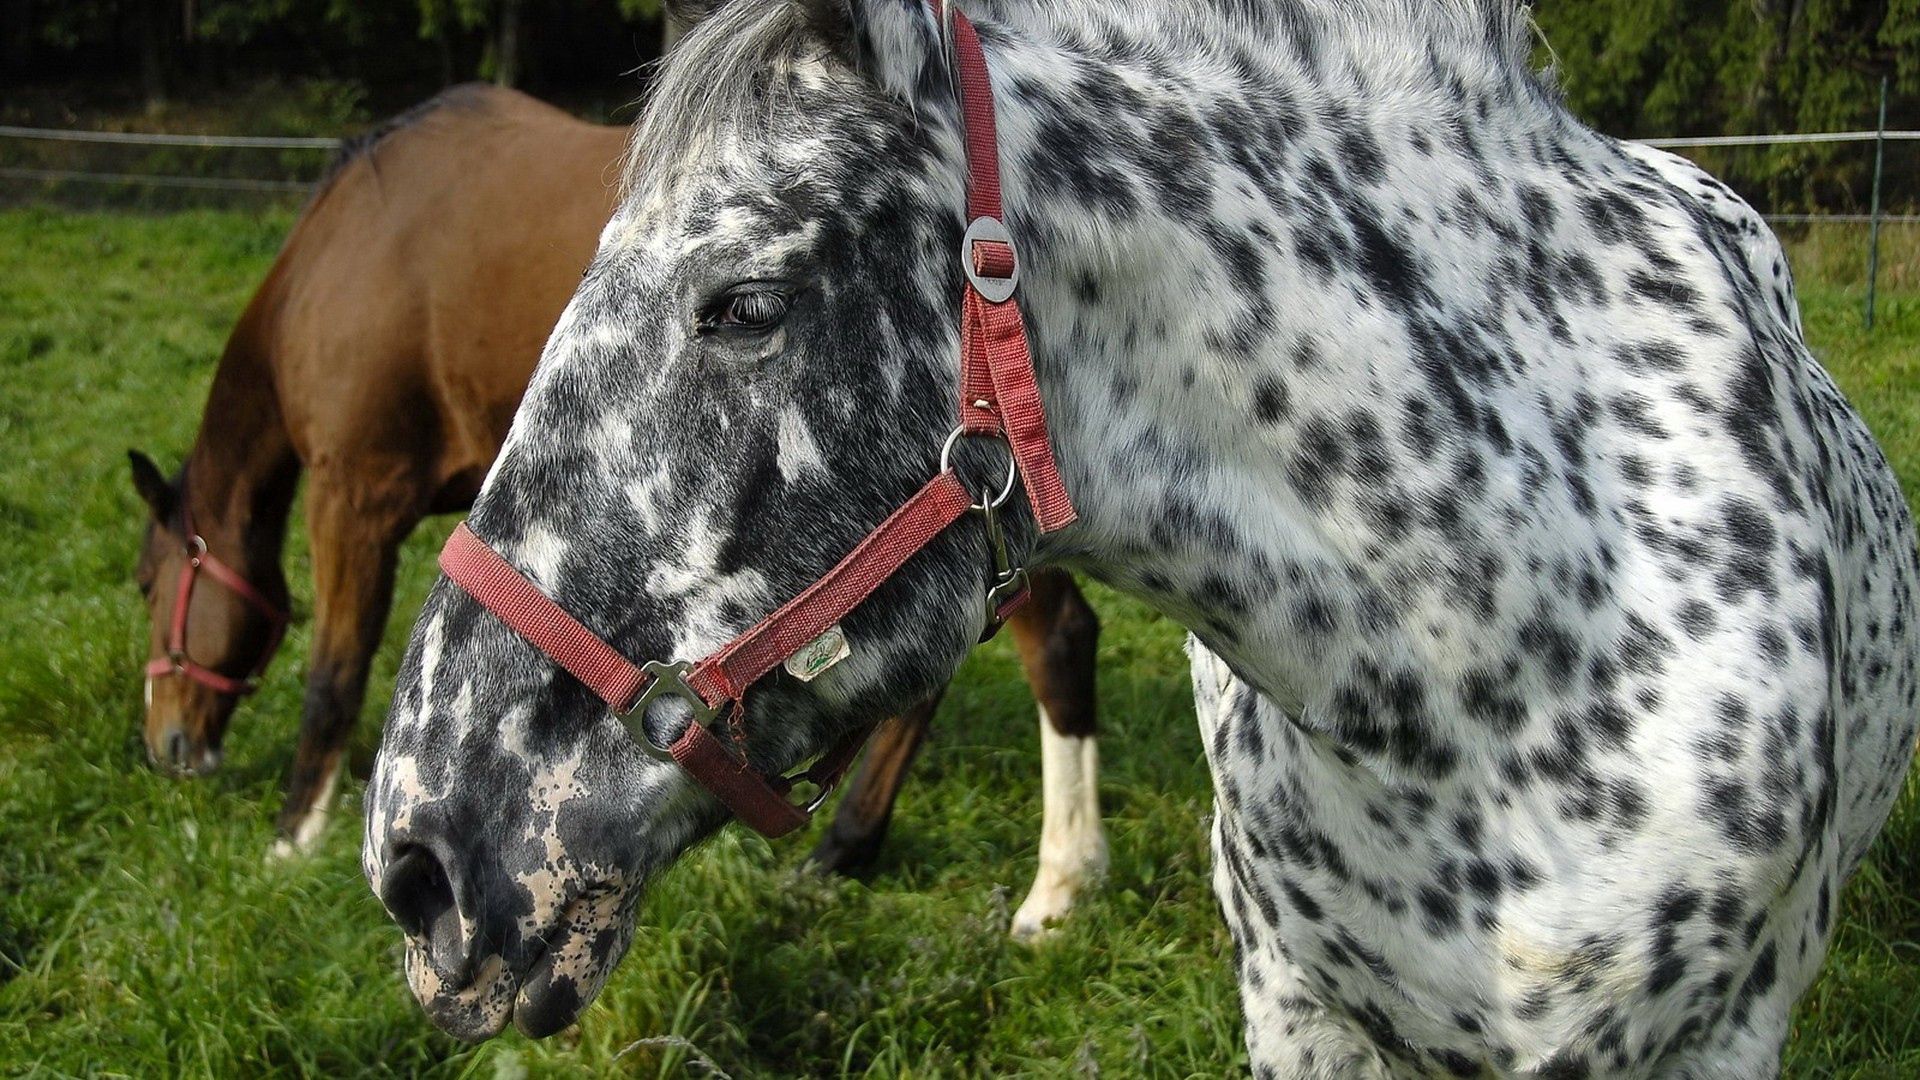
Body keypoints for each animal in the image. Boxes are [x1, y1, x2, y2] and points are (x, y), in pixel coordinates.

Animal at [127, 82, 1105, 926]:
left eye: (145, 583)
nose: (167, 747)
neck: (347, 248)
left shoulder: (354, 495)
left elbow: (332, 676)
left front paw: (293, 837)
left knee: (1055, 639)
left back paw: (1049, 885)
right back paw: (858, 851)